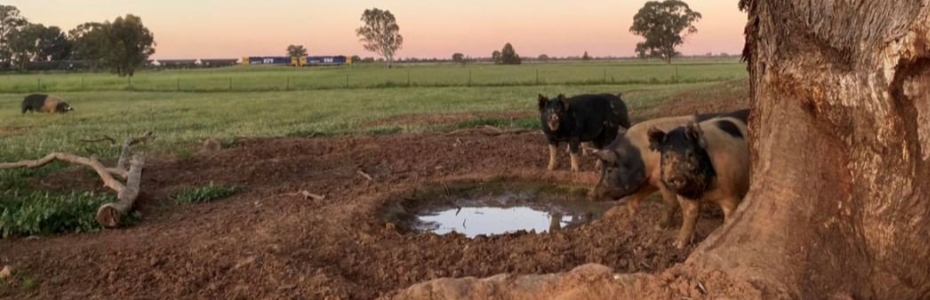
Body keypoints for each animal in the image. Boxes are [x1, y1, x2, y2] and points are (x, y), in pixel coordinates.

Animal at [592, 109, 752, 231]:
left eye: (609, 170)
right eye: (601, 169)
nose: (592, 194)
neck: (641, 156)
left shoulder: (662, 179)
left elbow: (670, 202)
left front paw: (659, 227)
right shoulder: (650, 179)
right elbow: (637, 196)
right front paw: (629, 214)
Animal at [648, 112, 752, 248]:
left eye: (690, 154)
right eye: (667, 156)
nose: (676, 176)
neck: (704, 192)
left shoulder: (730, 194)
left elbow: (730, 214)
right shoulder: (686, 198)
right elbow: (690, 216)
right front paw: (678, 245)